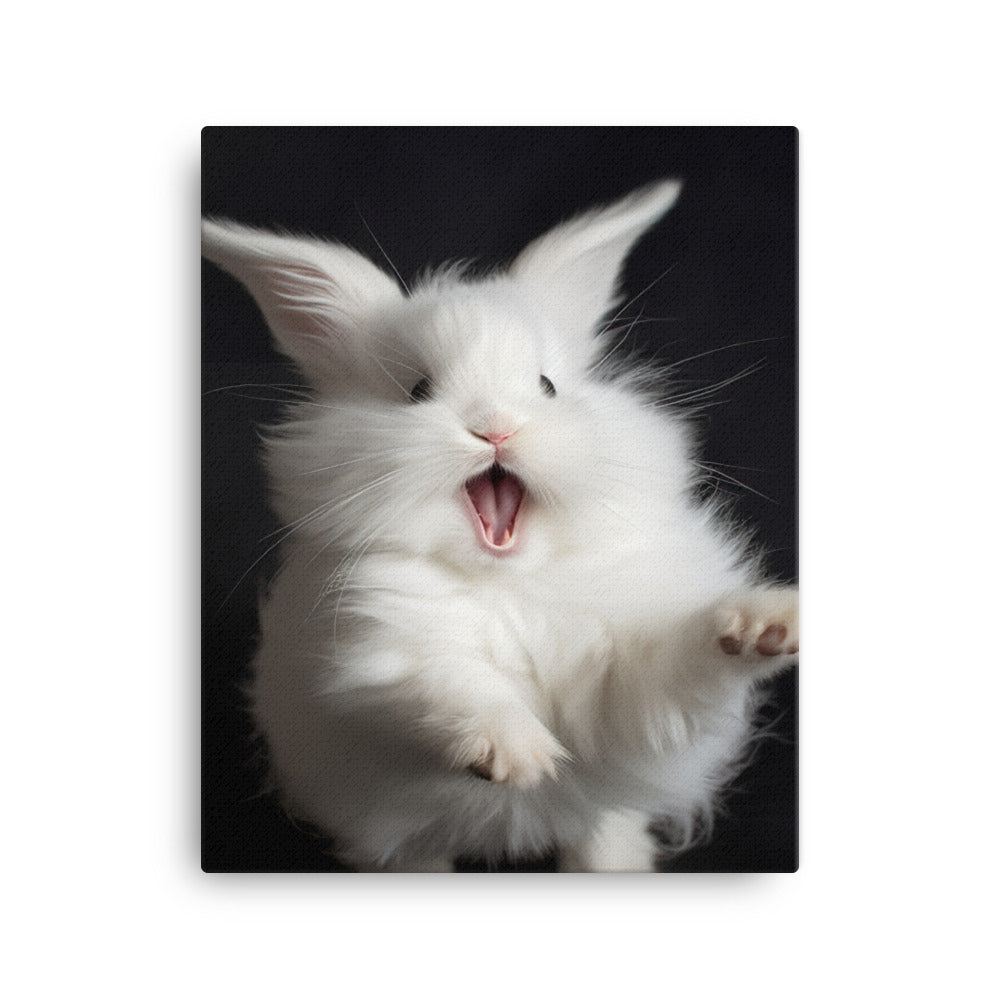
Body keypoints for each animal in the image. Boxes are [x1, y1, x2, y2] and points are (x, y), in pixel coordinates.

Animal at [202, 179, 798, 872]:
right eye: (417, 390)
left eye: (547, 385)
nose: (495, 429)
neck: (509, 580)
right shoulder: (374, 656)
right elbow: (446, 686)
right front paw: (517, 755)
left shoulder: (631, 689)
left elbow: (680, 663)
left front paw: (764, 626)